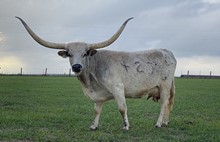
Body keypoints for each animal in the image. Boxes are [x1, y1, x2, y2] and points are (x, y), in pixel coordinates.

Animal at [16, 16, 176, 130]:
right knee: (168, 103)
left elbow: (122, 108)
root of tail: (166, 51)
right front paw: (94, 125)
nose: (76, 67)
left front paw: (126, 126)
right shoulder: (98, 97)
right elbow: (97, 110)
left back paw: (158, 123)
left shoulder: (118, 88)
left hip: (164, 85)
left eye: (85, 53)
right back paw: (166, 122)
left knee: (163, 103)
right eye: (69, 54)